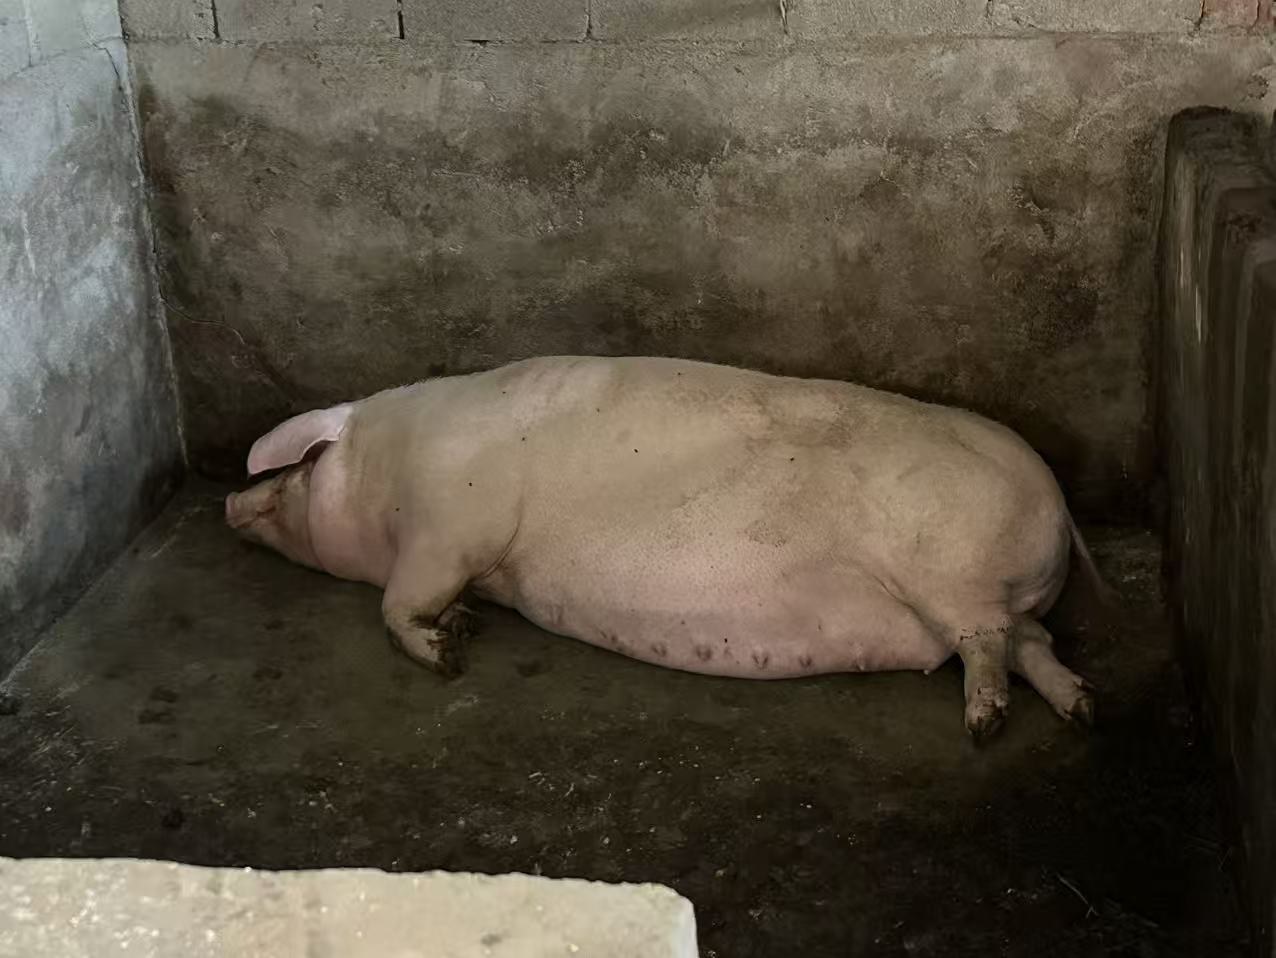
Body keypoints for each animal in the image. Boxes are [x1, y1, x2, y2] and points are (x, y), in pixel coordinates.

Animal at [226, 356, 1107, 740]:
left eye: (298, 469)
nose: (229, 501)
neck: (386, 475)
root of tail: (1059, 504)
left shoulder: (448, 527)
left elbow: (397, 604)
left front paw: (449, 657)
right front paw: (466, 627)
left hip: (953, 571)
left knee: (987, 642)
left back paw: (985, 724)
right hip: (990, 589)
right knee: (1033, 640)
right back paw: (1082, 706)